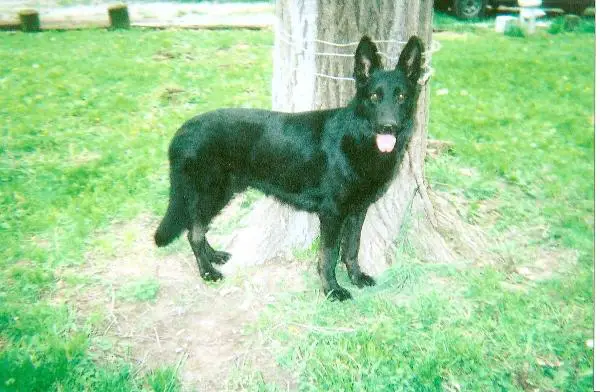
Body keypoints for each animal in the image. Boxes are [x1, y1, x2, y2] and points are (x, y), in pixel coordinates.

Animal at [155, 35, 426, 302]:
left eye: (401, 97)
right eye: (374, 97)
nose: (388, 127)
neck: (357, 138)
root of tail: (180, 132)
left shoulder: (357, 211)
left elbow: (351, 248)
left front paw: (356, 277)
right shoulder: (332, 214)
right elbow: (329, 255)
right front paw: (331, 289)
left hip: (216, 195)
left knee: (196, 228)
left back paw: (214, 257)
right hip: (210, 194)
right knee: (194, 233)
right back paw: (207, 271)